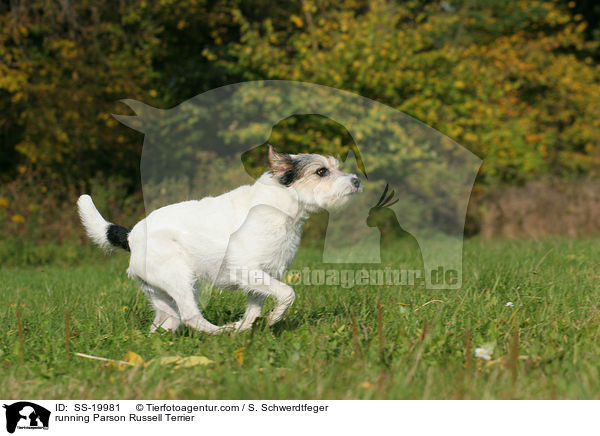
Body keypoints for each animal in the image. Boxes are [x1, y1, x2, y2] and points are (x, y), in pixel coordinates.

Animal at [78, 146, 360, 334]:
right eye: (321, 171)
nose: (357, 180)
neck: (279, 207)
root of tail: (131, 237)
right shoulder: (246, 270)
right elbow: (288, 294)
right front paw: (269, 320)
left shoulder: (262, 278)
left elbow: (254, 311)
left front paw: (247, 327)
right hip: (180, 279)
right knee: (191, 316)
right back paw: (221, 331)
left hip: (163, 296)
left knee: (166, 322)